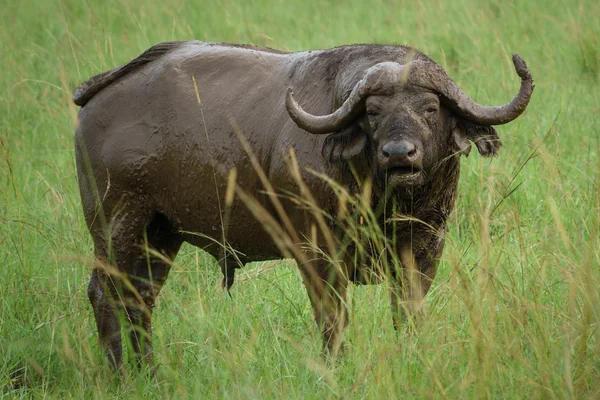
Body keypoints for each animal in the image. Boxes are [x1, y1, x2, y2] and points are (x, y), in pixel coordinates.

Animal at [72, 40, 532, 368]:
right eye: (373, 112)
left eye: (431, 107)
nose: (399, 154)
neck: (381, 201)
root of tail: (97, 95)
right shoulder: (317, 252)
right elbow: (333, 318)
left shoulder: (425, 248)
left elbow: (408, 314)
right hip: (117, 223)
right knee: (105, 293)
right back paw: (119, 374)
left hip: (161, 233)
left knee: (139, 296)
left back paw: (148, 371)